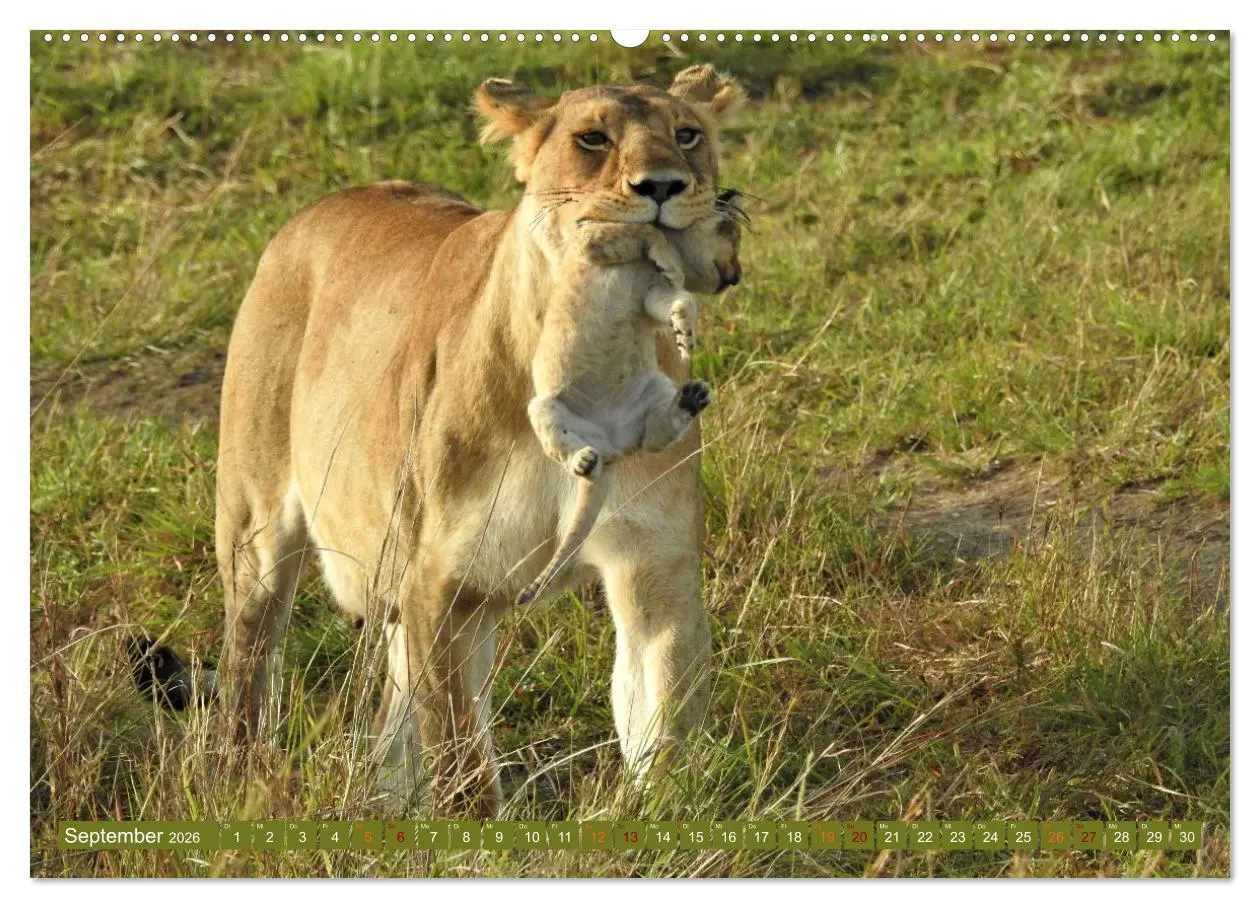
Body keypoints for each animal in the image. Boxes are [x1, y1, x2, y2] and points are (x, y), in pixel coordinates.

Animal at [519, 200, 743, 606]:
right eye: (732, 235)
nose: (738, 275)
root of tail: (611, 448)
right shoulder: (594, 239)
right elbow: (648, 232)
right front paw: (669, 262)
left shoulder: (652, 294)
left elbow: (679, 299)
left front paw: (685, 334)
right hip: (543, 407)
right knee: (563, 448)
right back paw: (583, 460)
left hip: (656, 387)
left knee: (652, 439)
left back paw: (691, 399)